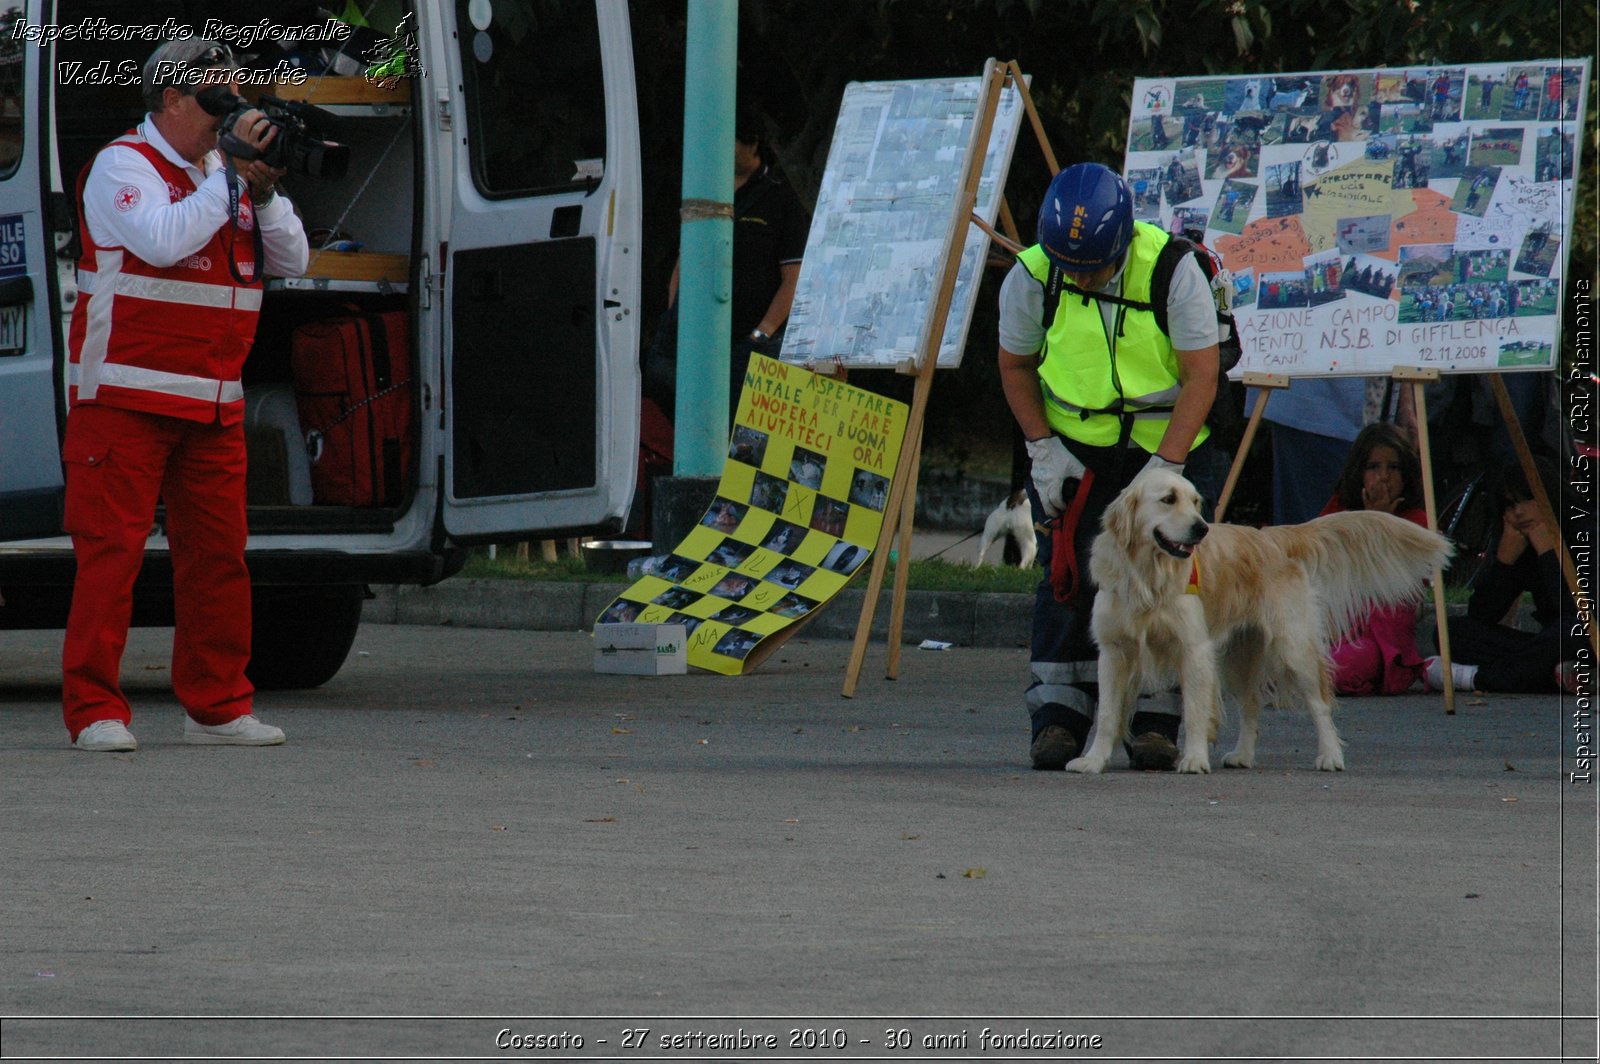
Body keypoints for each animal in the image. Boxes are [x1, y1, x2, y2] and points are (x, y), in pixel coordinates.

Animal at [1068, 470, 1459, 777]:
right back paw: (1243, 755)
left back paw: (1330, 755)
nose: (1201, 528)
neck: (1147, 578)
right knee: (1252, 704)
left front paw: (1194, 759)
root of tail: (1270, 536)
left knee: (1320, 702)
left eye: (1195, 502)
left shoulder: (1193, 650)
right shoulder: (1113, 653)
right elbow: (1107, 714)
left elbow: (1194, 711)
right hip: (1237, 657)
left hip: (1293, 647)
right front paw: (1093, 761)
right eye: (1168, 499)